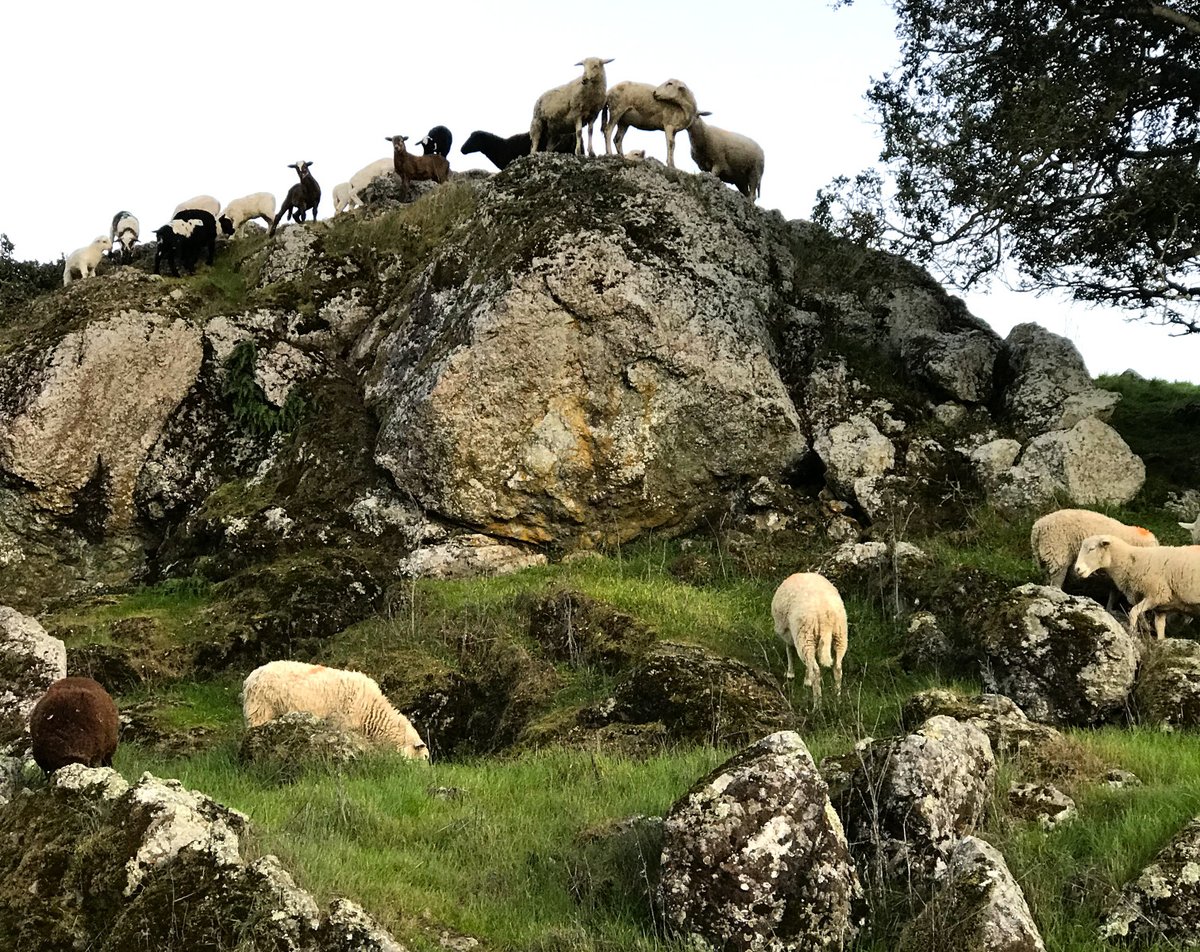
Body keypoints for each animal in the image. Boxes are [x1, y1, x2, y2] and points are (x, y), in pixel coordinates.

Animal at [771, 572, 848, 701]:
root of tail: (825, 617)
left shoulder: (787, 632)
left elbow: (789, 650)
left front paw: (791, 674)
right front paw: (806, 679)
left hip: (805, 636)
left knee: (816, 671)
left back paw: (817, 702)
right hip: (840, 636)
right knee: (837, 668)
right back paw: (837, 699)